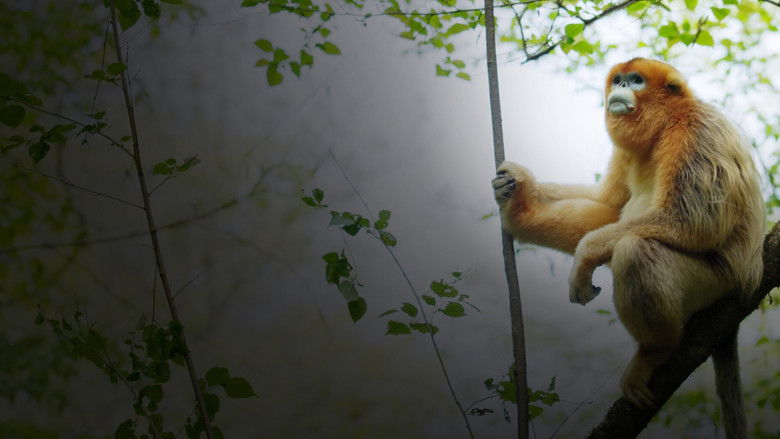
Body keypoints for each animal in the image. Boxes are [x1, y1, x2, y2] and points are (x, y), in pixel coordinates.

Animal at [492, 58, 764, 438]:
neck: (665, 125)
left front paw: (585, 256)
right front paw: (519, 200)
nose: (620, 88)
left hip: (721, 283)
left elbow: (697, 221)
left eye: (636, 81)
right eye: (619, 80)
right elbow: (607, 208)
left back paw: (654, 352)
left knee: (637, 250)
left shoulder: (697, 131)